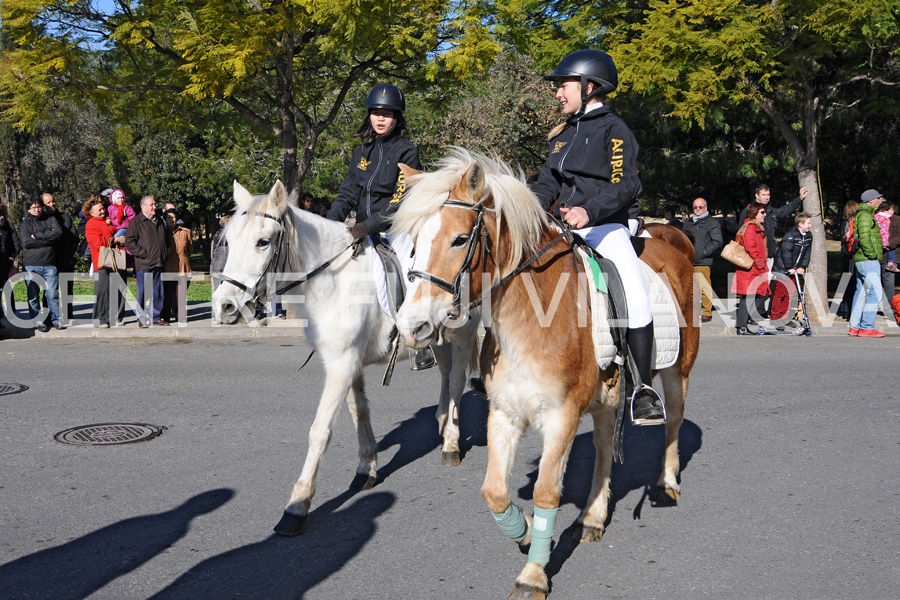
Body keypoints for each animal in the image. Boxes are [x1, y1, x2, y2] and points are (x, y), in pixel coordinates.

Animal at [213, 180, 478, 536]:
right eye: (228, 241)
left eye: (263, 242)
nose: (224, 306)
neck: (333, 282)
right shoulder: (347, 363)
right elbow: (359, 413)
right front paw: (366, 469)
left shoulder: (340, 366)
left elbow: (320, 431)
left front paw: (297, 505)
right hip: (434, 338)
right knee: (446, 375)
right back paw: (441, 422)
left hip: (463, 335)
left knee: (458, 380)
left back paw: (450, 442)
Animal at [390, 150, 700, 600]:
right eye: (412, 244)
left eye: (460, 240)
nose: (412, 326)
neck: (530, 320)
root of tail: (672, 242)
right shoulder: (504, 412)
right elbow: (493, 491)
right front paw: (521, 532)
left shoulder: (561, 417)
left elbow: (546, 491)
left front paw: (533, 575)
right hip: (607, 397)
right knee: (604, 445)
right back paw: (592, 517)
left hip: (678, 370)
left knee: (673, 420)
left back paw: (666, 483)